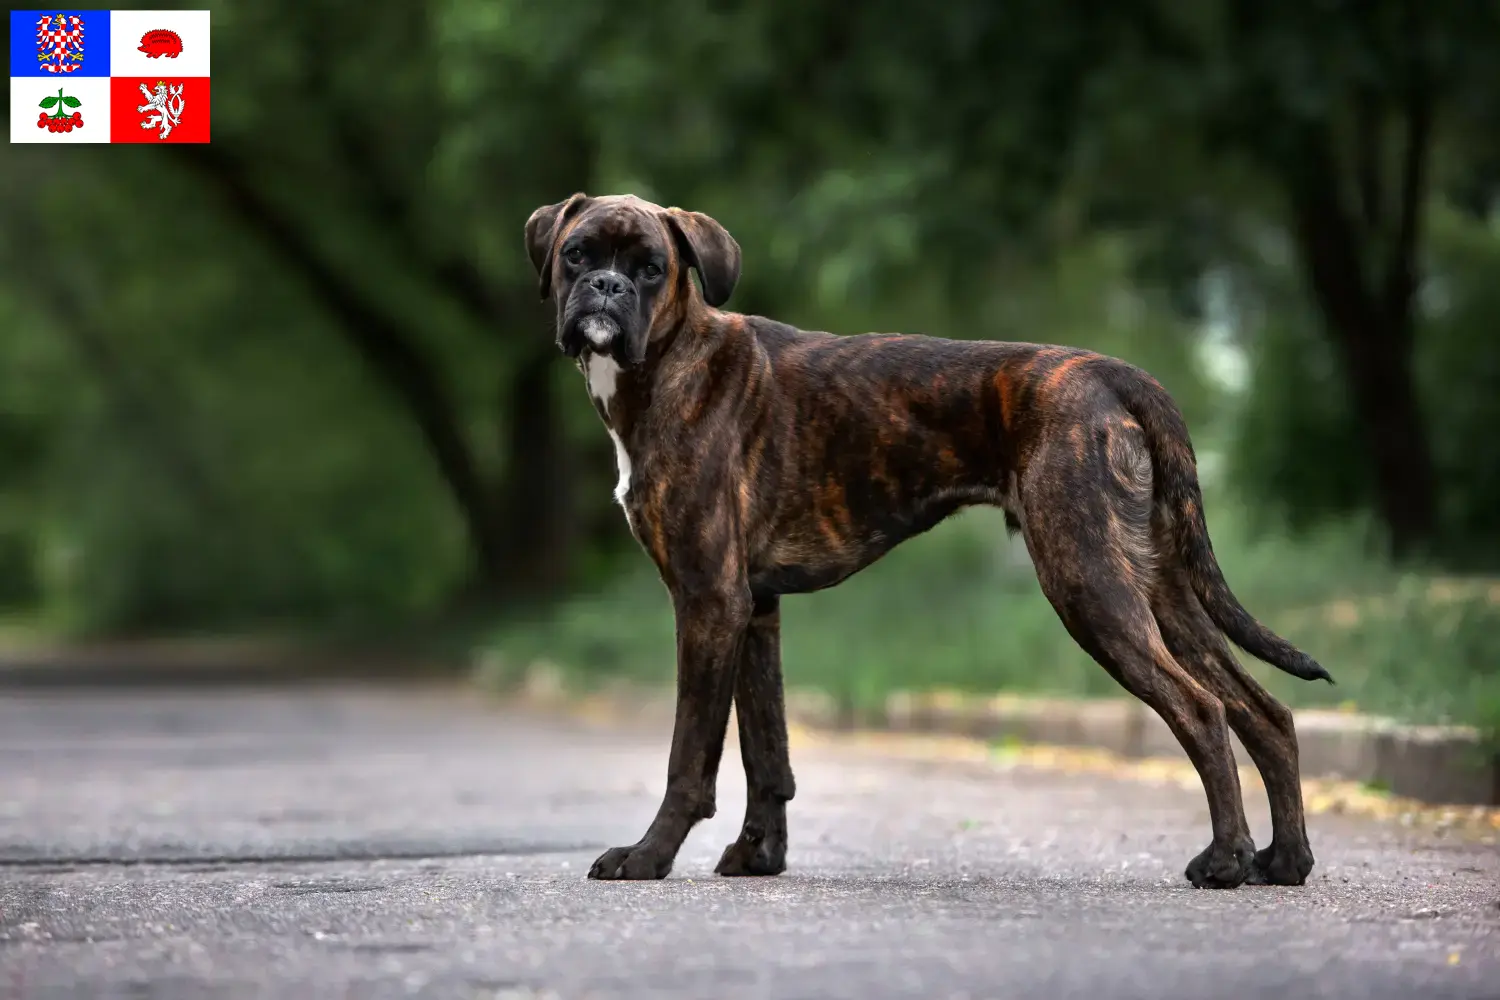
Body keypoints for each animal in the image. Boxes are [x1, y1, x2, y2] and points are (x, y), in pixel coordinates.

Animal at [522, 191, 1332, 887]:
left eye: (650, 267)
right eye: (576, 253)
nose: (603, 287)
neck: (669, 362)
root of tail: (1115, 372)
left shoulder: (708, 601)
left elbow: (691, 754)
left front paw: (647, 857)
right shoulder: (753, 611)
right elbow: (767, 751)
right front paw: (758, 856)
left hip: (1091, 584)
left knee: (1201, 710)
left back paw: (1225, 861)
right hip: (1160, 587)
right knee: (1263, 712)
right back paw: (1283, 860)